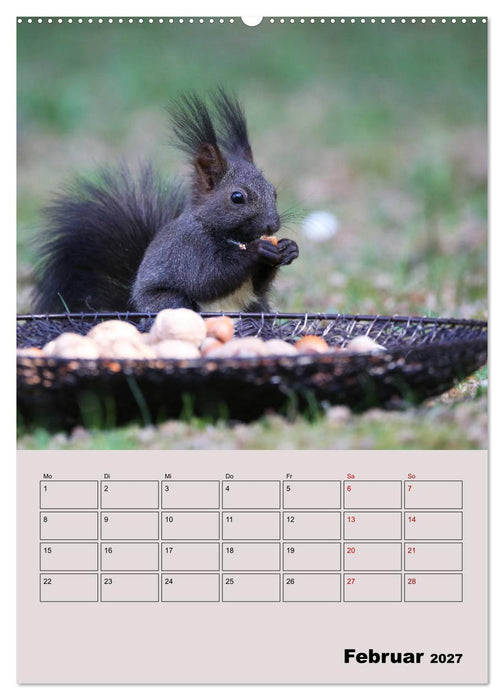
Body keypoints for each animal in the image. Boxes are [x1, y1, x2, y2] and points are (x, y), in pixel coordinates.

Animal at [32, 89, 299, 314]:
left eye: (273, 192)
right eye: (237, 197)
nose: (273, 225)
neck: (233, 238)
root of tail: (133, 310)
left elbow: (258, 286)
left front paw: (288, 248)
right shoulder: (187, 250)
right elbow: (207, 278)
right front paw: (258, 250)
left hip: (256, 307)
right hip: (169, 301)